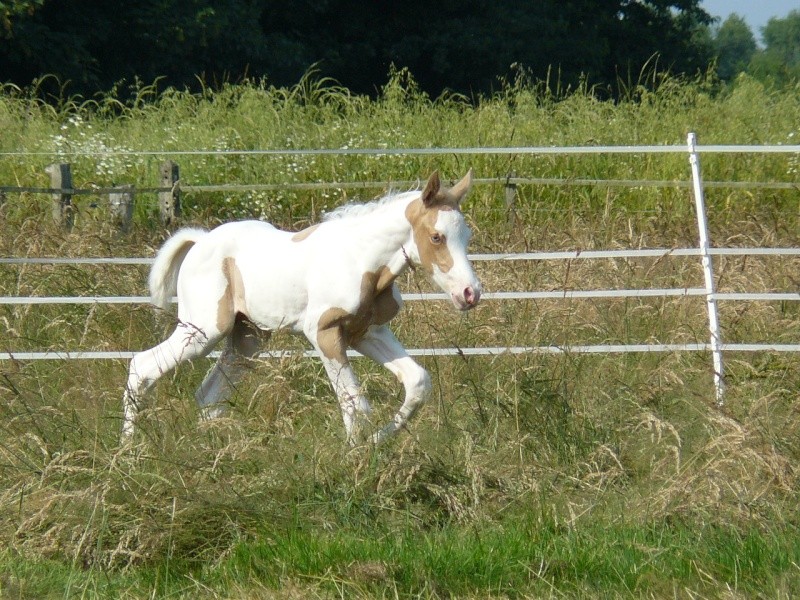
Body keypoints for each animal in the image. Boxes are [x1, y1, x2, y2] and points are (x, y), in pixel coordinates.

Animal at [119, 171, 482, 442]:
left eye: (466, 236)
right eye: (436, 237)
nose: (470, 293)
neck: (360, 259)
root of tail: (200, 240)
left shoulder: (368, 332)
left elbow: (417, 383)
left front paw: (377, 443)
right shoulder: (322, 332)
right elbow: (354, 401)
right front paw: (357, 458)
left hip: (247, 337)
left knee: (209, 395)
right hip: (203, 330)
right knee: (142, 366)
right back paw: (128, 453)